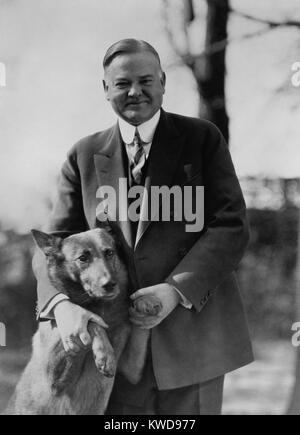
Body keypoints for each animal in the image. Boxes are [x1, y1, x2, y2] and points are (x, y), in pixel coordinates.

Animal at [4, 228, 161, 416]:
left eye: (109, 253)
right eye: (83, 258)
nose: (110, 284)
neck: (99, 305)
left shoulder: (132, 368)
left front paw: (145, 301)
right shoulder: (54, 377)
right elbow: (92, 321)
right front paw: (105, 354)